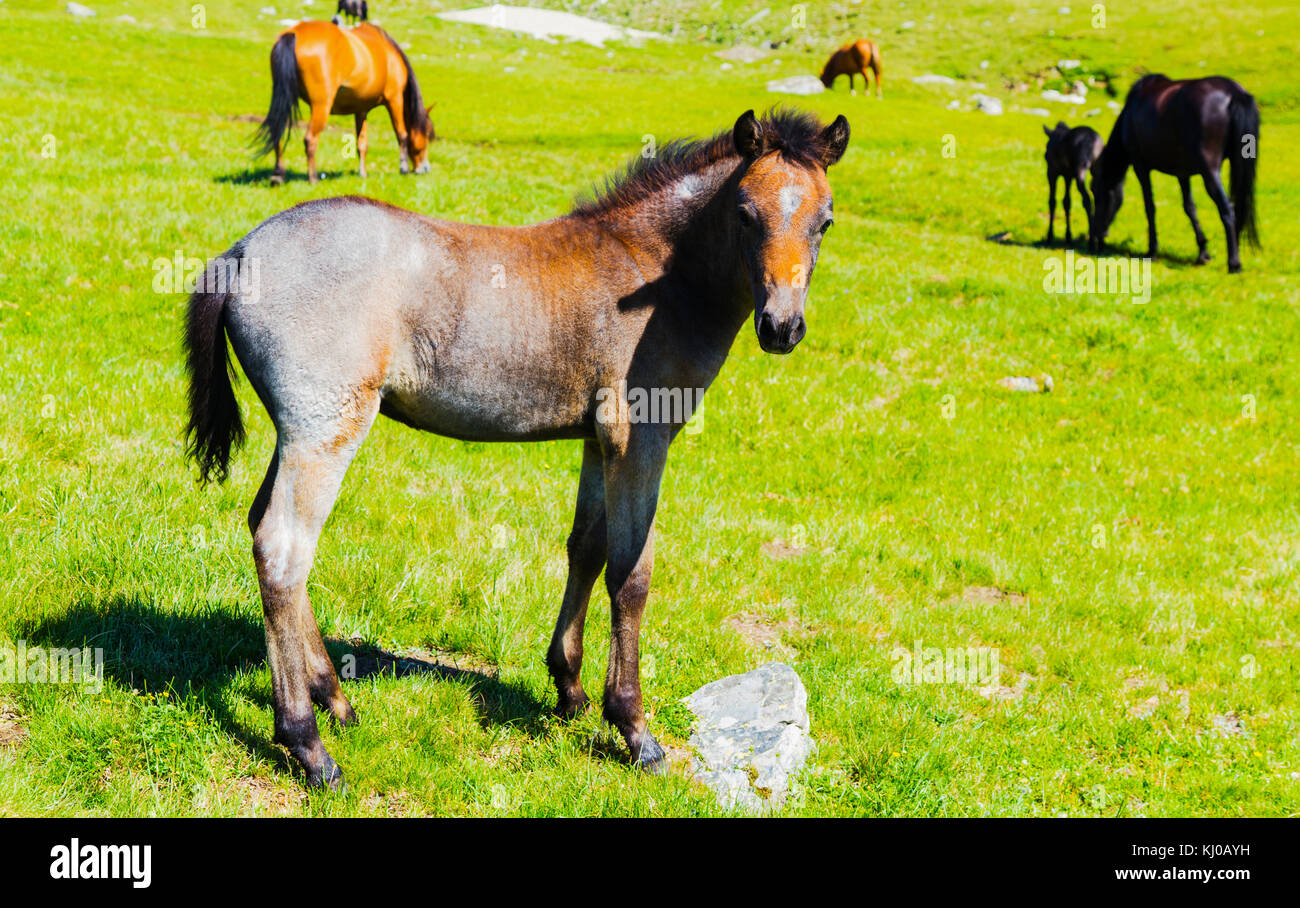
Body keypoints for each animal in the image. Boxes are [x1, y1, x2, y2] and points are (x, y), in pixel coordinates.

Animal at [185, 109, 851, 788]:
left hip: (298, 435)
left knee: (262, 527)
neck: (653, 272)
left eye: (824, 221)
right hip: (324, 432)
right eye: (745, 213)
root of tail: (240, 253)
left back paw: (336, 699)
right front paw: (634, 729)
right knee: (283, 550)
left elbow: (586, 549)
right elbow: (631, 574)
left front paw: (570, 690)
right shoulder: (639, 439)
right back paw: (308, 743)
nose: (781, 328)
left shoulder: (599, 443)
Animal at [253, 20, 433, 186]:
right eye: (427, 134)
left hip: (285, 98)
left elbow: (362, 144)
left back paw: (278, 175)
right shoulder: (394, 98)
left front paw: (363, 173)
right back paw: (313, 178)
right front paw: (403, 168)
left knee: (278, 134)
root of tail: (295, 33)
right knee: (310, 139)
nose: (425, 169)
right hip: (321, 106)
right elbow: (402, 134)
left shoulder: (361, 109)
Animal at [1090, 74, 1259, 272]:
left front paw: (1152, 250)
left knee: (1227, 209)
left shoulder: (1140, 167)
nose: (1095, 235)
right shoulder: (1182, 174)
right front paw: (1203, 252)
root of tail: (1234, 92)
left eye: (1097, 192)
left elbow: (1150, 207)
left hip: (1209, 171)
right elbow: (1190, 208)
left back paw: (1234, 262)